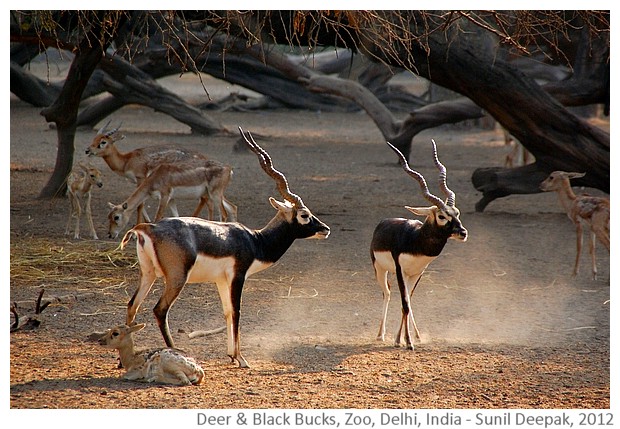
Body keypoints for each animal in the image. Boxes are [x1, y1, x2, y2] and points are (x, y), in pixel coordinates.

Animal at [107, 158, 237, 239]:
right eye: (109, 216)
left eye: (116, 217)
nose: (110, 234)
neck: (157, 177)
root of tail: (228, 169)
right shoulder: (171, 200)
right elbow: (177, 216)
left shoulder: (164, 196)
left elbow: (158, 217)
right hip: (214, 195)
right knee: (232, 207)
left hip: (215, 194)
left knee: (224, 213)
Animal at [370, 140, 468, 348]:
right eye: (441, 216)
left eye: (457, 213)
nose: (463, 233)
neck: (416, 241)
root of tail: (383, 222)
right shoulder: (400, 270)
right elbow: (405, 304)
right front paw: (406, 342)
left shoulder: (418, 272)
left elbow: (408, 303)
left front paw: (402, 339)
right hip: (380, 270)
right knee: (387, 294)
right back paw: (380, 335)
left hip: (407, 276)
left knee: (405, 298)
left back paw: (415, 335)